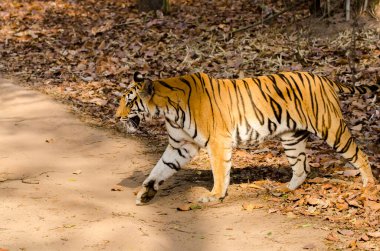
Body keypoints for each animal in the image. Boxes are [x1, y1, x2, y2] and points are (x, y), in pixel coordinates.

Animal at [116, 71, 378, 205]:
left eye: (129, 102)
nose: (116, 117)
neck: (167, 111)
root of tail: (322, 77)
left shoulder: (217, 142)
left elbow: (220, 172)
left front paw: (214, 196)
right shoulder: (181, 146)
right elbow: (160, 169)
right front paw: (145, 193)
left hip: (331, 127)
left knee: (360, 155)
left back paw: (369, 186)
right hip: (292, 138)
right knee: (302, 167)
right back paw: (286, 189)